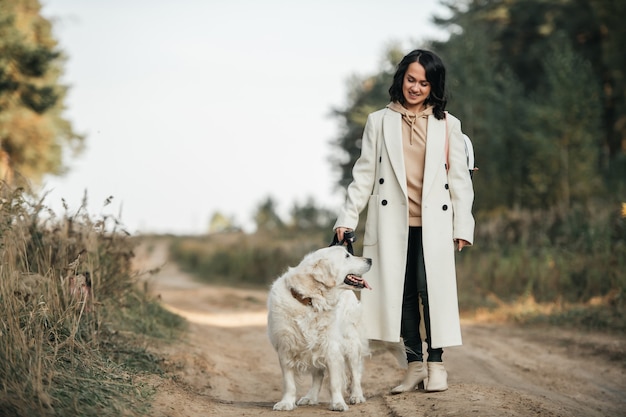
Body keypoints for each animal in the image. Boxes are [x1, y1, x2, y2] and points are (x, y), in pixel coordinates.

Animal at [264, 245, 370, 412]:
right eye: (347, 256)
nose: (370, 260)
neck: (310, 300)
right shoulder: (285, 347)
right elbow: (289, 383)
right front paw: (286, 403)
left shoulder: (331, 347)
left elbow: (335, 382)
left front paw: (338, 403)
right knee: (318, 375)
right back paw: (310, 397)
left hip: (351, 343)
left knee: (355, 373)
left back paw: (357, 396)